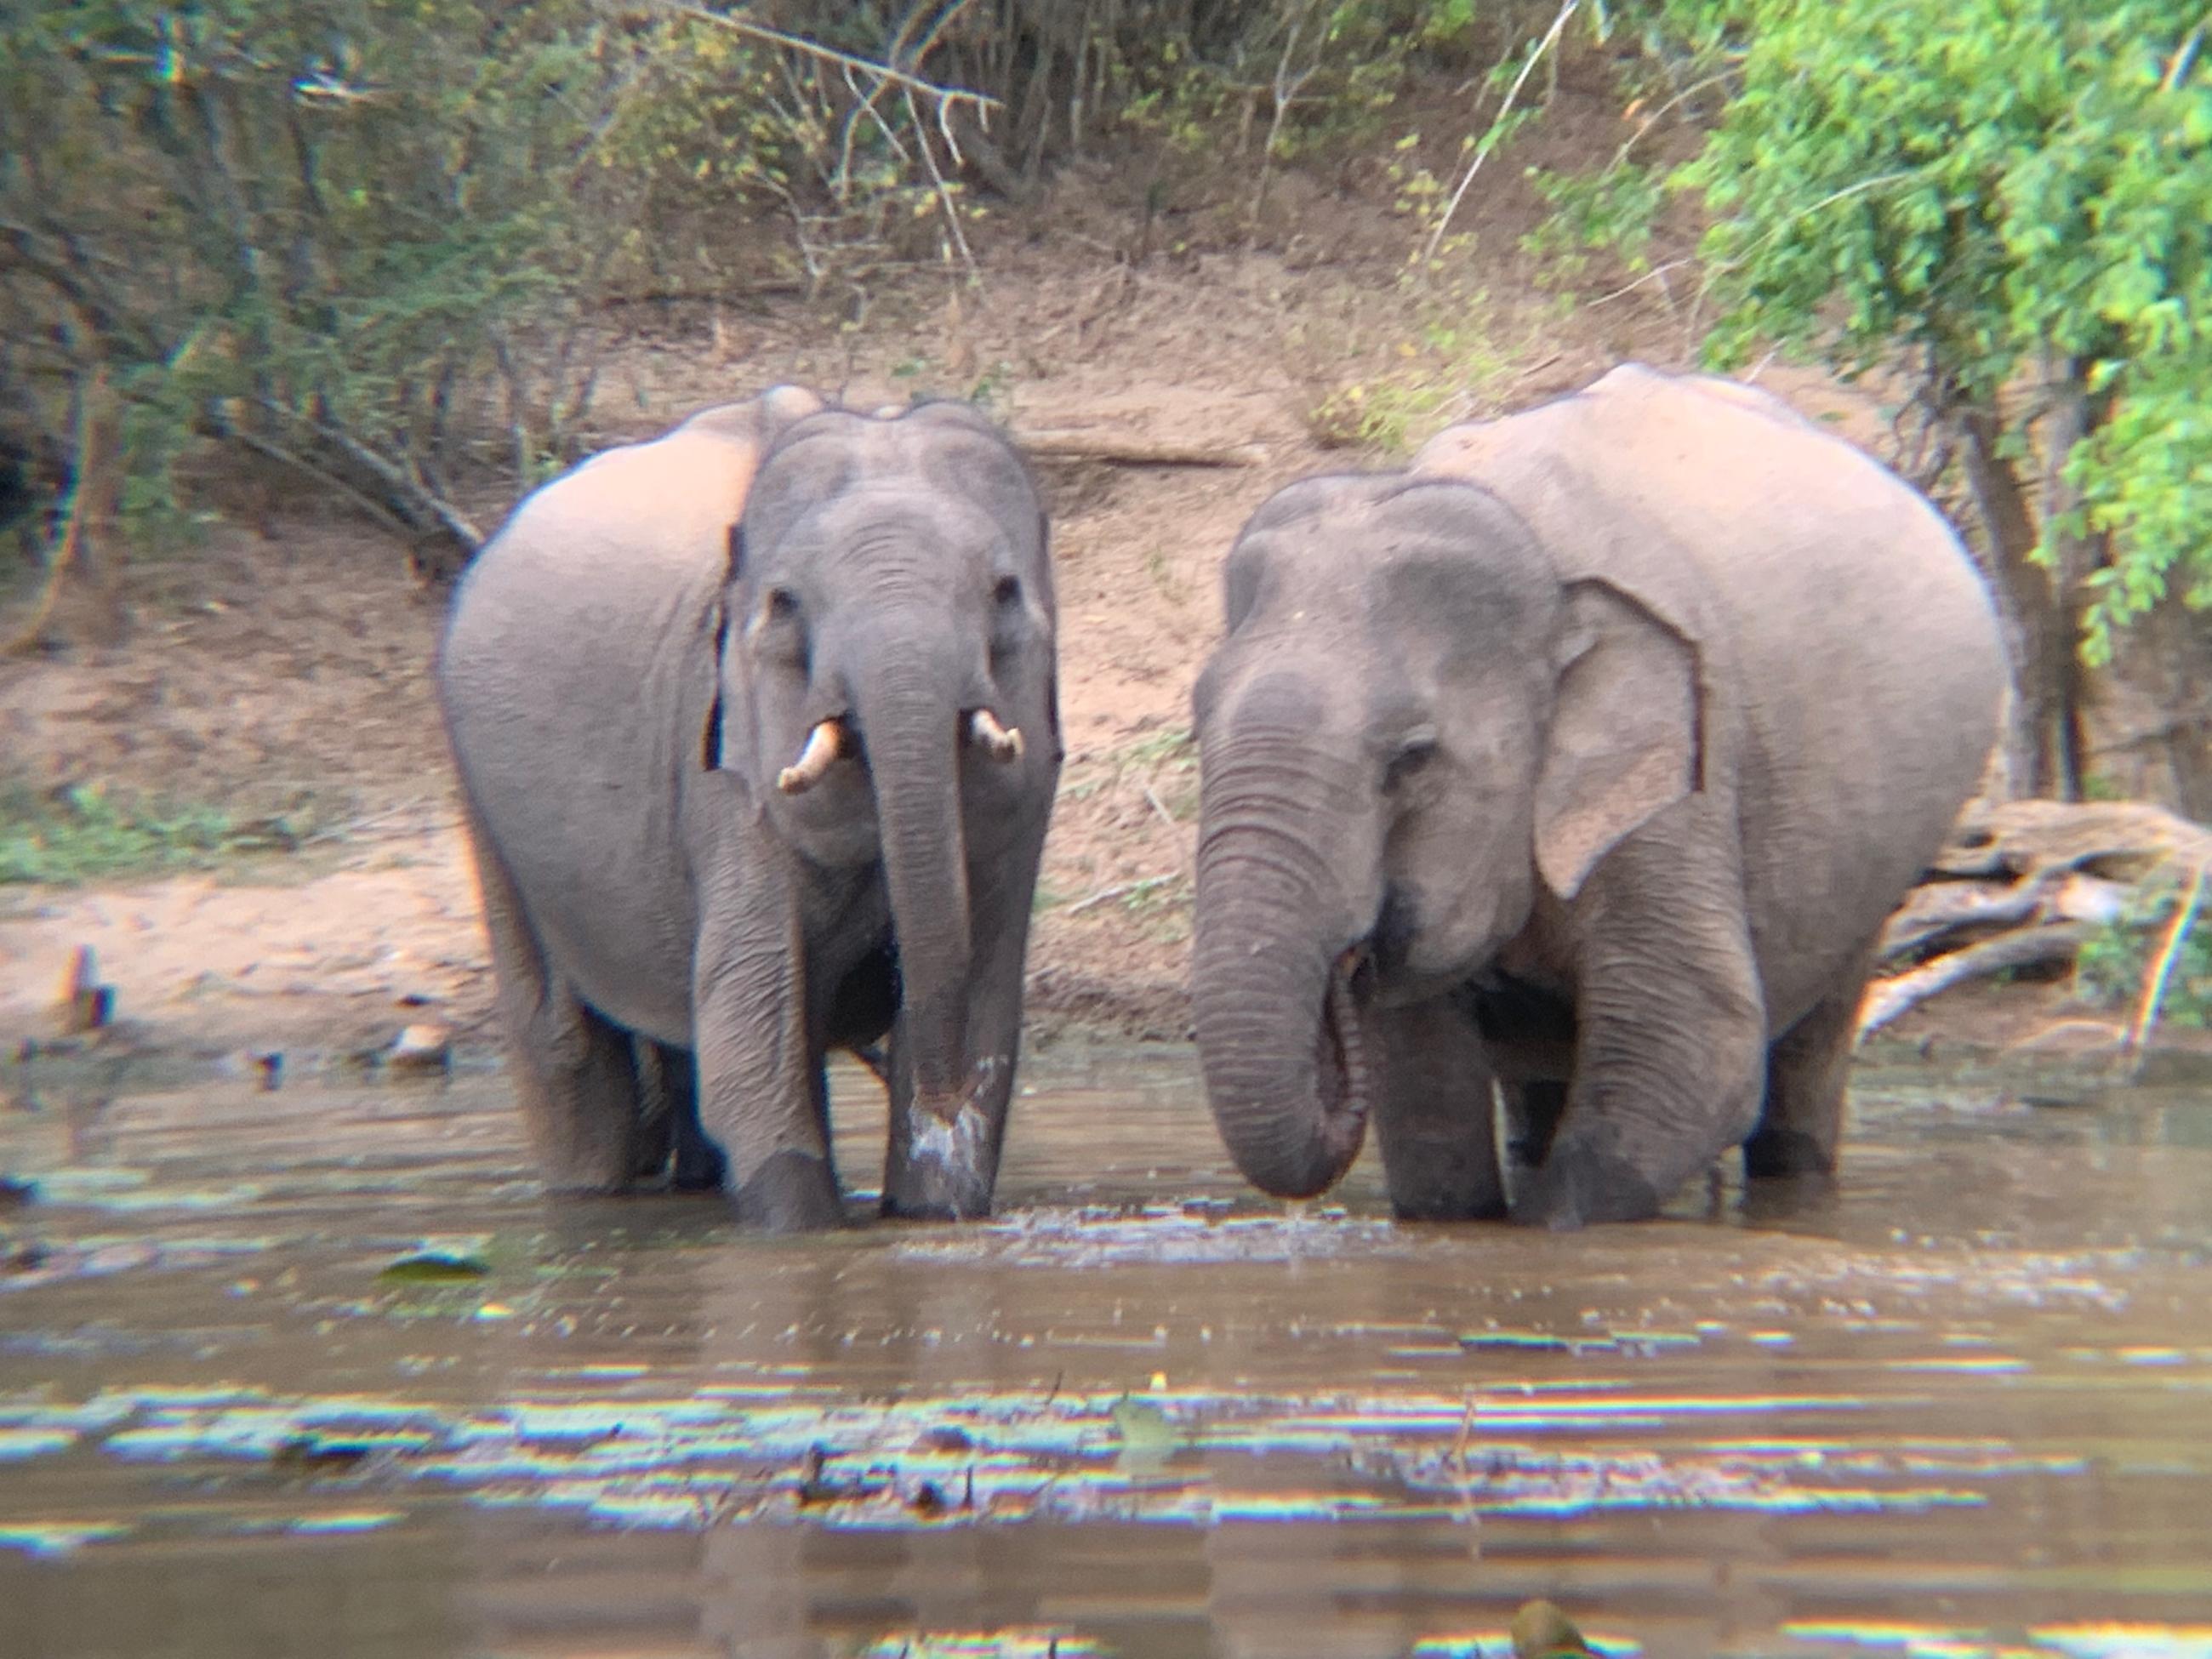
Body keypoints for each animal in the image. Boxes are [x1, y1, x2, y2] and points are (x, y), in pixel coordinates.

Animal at [435, 388, 1061, 1231]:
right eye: (785, 604)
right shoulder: (725, 773)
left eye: (1003, 592)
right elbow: (753, 1056)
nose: (935, 1098)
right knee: (565, 1049)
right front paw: (805, 1233)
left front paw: (931, 1209)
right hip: (481, 794)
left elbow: (988, 1020)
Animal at [1188, 363, 2005, 1228]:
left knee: (1809, 1051)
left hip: (1882, 865)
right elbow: (1426, 1101)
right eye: (1197, 729)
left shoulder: (1679, 792)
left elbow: (1695, 1053)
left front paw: (1550, 1230)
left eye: (1411, 759)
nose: (1349, 961)